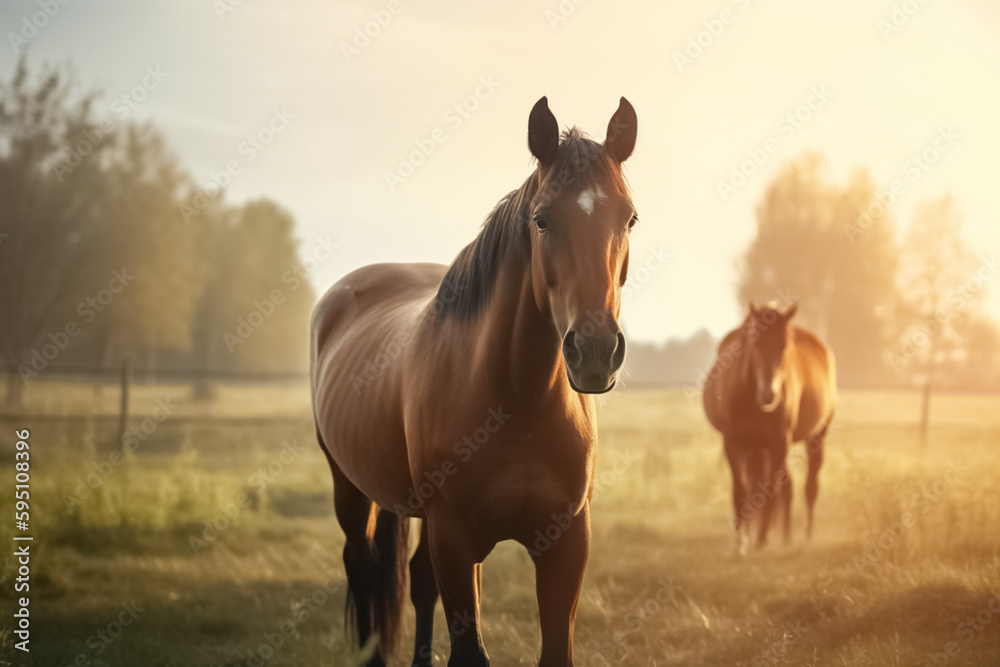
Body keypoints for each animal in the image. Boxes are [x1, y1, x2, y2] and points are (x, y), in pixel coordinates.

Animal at [312, 96, 640, 664]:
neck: (519, 403)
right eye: (541, 220)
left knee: (417, 580)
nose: (596, 350)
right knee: (364, 567)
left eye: (630, 219)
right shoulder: (455, 538)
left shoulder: (566, 541)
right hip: (349, 487)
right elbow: (468, 651)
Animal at [704, 304, 836, 552]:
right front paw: (741, 542)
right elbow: (742, 490)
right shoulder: (734, 442)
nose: (769, 395)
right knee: (786, 486)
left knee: (810, 486)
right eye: (755, 345)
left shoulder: (780, 442)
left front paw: (762, 539)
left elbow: (770, 491)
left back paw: (806, 536)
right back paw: (785, 536)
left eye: (784, 345)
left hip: (816, 437)